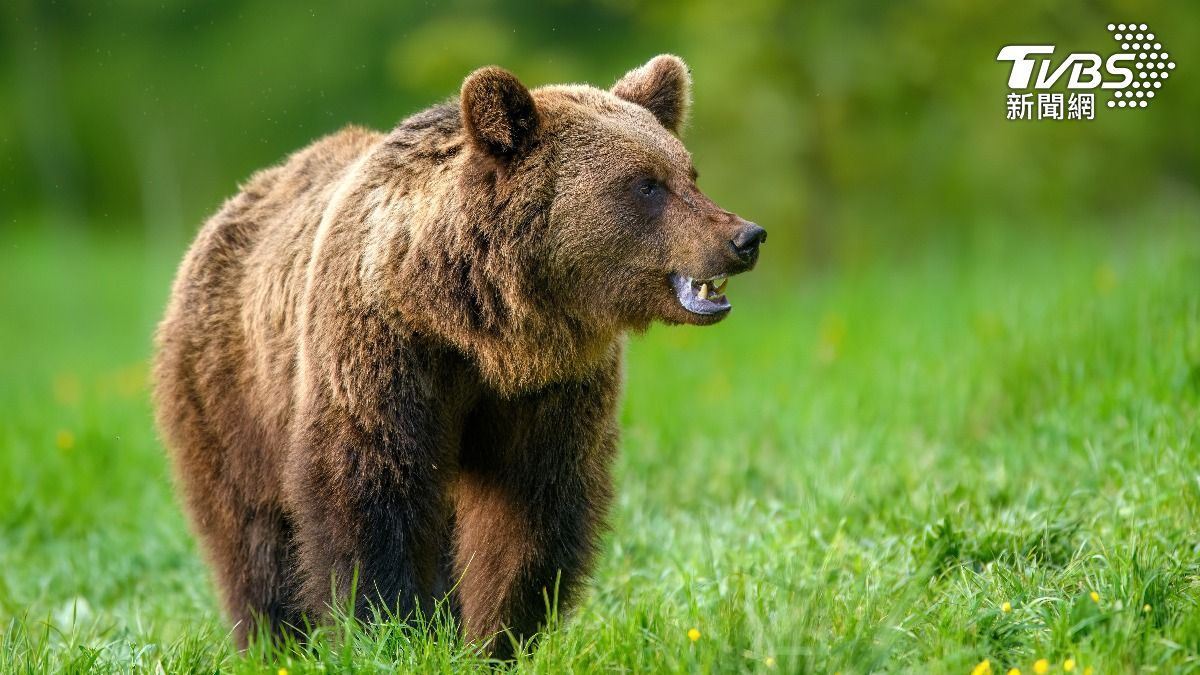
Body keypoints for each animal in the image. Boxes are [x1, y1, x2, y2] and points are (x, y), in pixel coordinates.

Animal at [152, 54, 765, 656]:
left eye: (689, 173)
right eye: (645, 185)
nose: (745, 237)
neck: (480, 326)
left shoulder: (552, 388)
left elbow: (532, 509)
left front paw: (498, 635)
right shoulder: (386, 353)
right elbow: (371, 497)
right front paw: (388, 631)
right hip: (228, 393)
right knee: (252, 532)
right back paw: (277, 643)